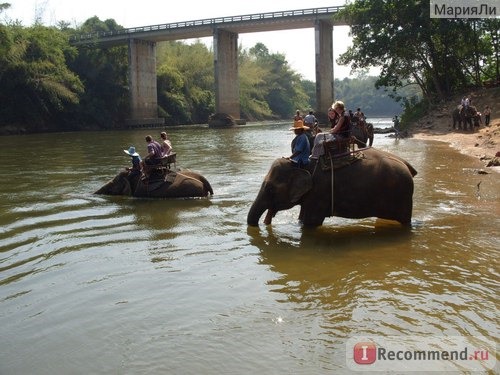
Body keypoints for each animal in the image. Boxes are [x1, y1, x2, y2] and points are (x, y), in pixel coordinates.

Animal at [248, 148, 416, 228]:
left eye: (270, 188)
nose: (266, 222)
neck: (301, 165)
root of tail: (407, 165)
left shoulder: (319, 193)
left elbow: (311, 222)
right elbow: (302, 218)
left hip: (402, 194)